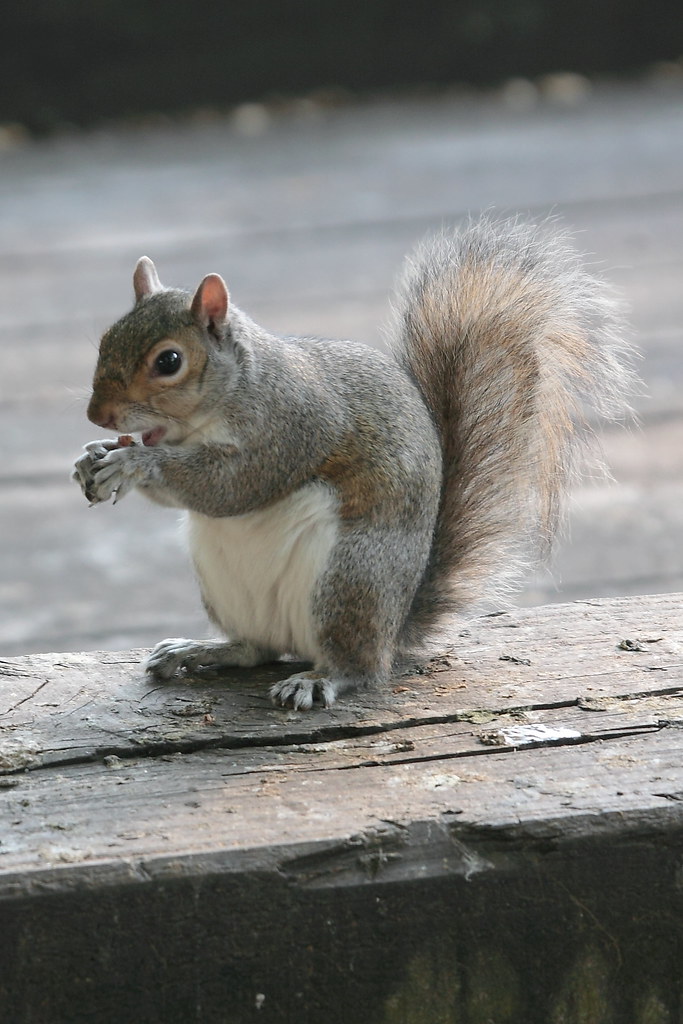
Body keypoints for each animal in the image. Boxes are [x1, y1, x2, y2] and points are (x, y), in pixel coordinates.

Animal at [72, 216, 635, 710]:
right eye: (105, 340)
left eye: (169, 361)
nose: (97, 415)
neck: (237, 390)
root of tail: (394, 627)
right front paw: (91, 458)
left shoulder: (291, 427)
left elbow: (234, 487)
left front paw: (134, 463)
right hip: (228, 584)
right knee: (257, 649)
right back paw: (200, 650)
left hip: (352, 576)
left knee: (360, 667)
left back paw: (318, 679)